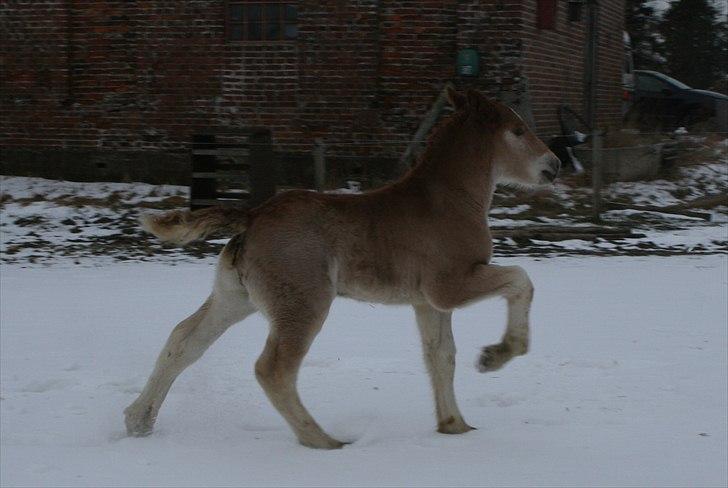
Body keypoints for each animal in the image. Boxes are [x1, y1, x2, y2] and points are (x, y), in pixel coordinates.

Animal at [125, 88, 560, 450]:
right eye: (518, 130)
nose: (554, 165)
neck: (451, 201)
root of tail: (252, 215)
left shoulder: (427, 302)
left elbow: (441, 357)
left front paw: (455, 426)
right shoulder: (450, 284)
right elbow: (521, 280)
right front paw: (496, 355)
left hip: (235, 297)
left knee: (184, 340)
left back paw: (138, 420)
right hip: (304, 303)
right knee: (273, 368)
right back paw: (323, 441)